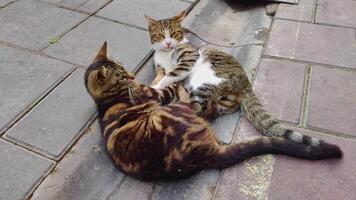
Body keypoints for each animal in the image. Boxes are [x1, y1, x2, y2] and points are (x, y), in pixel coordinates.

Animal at [84, 42, 342, 181]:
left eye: (123, 68)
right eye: (121, 74)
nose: (131, 76)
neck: (106, 101)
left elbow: (165, 75)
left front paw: (160, 71)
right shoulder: (156, 94)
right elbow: (163, 84)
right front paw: (161, 75)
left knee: (214, 106)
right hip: (195, 97)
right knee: (200, 108)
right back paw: (184, 89)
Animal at [145, 10, 328, 148]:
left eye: (174, 33)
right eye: (160, 35)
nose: (169, 43)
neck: (166, 54)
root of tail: (246, 84)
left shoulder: (187, 60)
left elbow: (170, 75)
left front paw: (155, 89)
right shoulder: (160, 67)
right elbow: (162, 76)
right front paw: (153, 88)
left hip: (203, 84)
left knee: (203, 110)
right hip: (219, 96)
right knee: (217, 108)